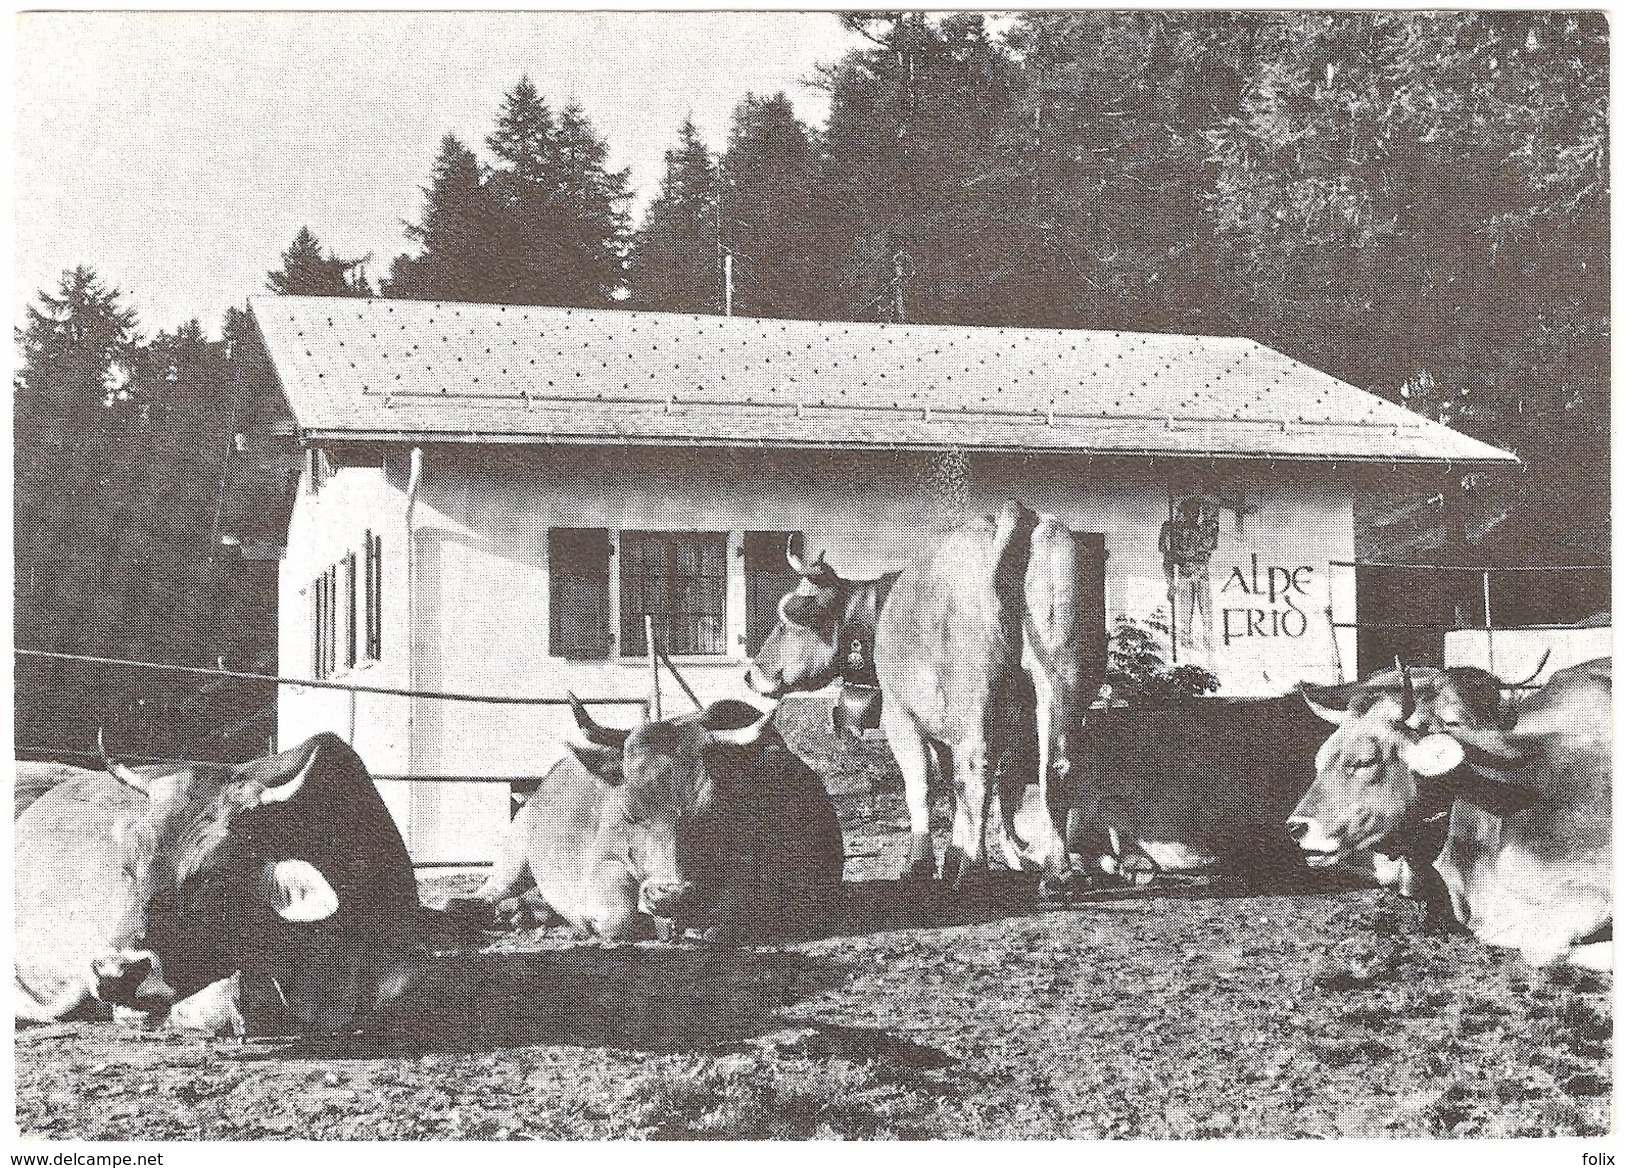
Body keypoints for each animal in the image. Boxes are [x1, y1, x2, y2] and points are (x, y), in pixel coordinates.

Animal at [451, 698, 845, 948]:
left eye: (713, 811)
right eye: (628, 812)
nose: (669, 892)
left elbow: (726, 918)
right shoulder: (603, 864)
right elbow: (620, 917)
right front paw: (593, 923)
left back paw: (525, 913)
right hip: (515, 851)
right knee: (491, 890)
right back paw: (477, 907)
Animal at [744, 503, 1105, 896]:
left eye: (786, 620)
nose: (750, 674)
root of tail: (1017, 516)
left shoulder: (902, 716)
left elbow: (921, 787)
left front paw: (920, 865)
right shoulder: (952, 732)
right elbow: (953, 789)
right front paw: (952, 857)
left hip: (975, 703)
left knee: (976, 774)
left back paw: (974, 872)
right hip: (1061, 682)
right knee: (1054, 767)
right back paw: (1057, 872)